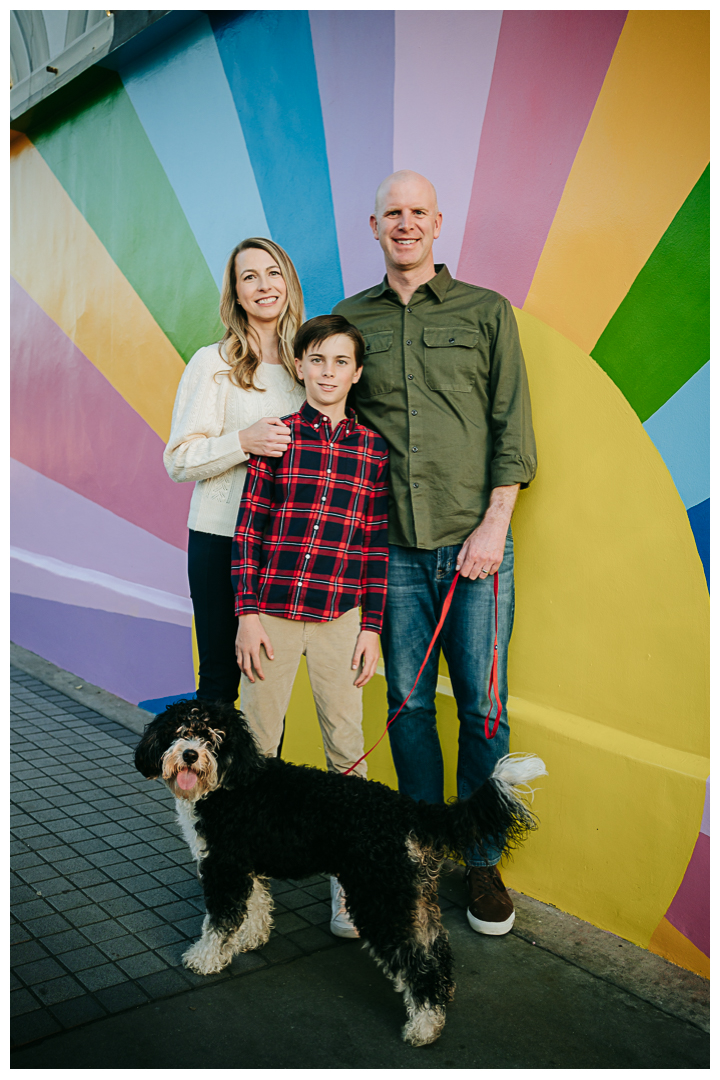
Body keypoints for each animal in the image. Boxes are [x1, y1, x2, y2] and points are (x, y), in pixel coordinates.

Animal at [133, 699, 546, 1045]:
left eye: (213, 737)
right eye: (179, 731)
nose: (189, 753)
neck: (230, 783)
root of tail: (408, 809)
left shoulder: (225, 865)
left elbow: (219, 920)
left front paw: (205, 958)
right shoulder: (246, 865)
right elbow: (256, 905)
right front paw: (252, 938)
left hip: (379, 897)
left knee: (415, 961)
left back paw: (424, 1025)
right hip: (410, 892)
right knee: (434, 946)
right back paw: (442, 997)